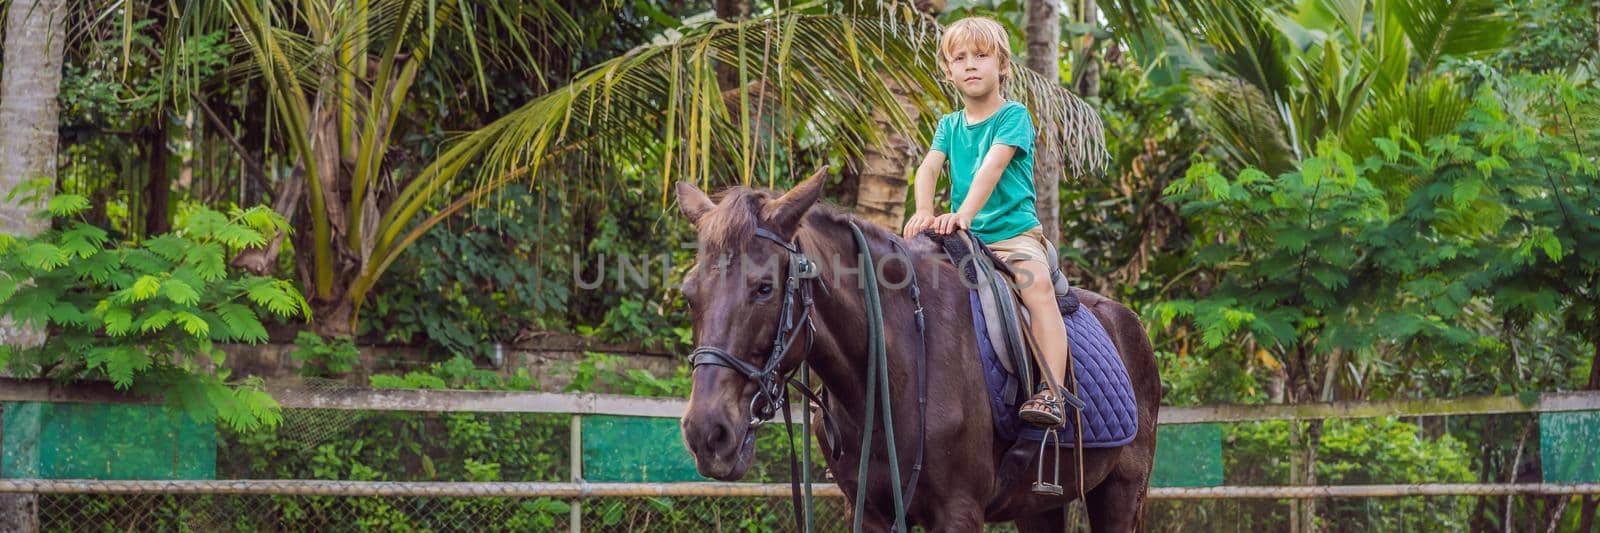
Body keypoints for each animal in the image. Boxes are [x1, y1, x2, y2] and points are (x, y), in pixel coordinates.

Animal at [675, 171, 1164, 531]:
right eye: (688, 294)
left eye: (764, 288)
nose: (707, 433)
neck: (891, 374)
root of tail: (1129, 323)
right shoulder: (868, 511)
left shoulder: (959, 512)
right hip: (1039, 505)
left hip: (1123, 491)